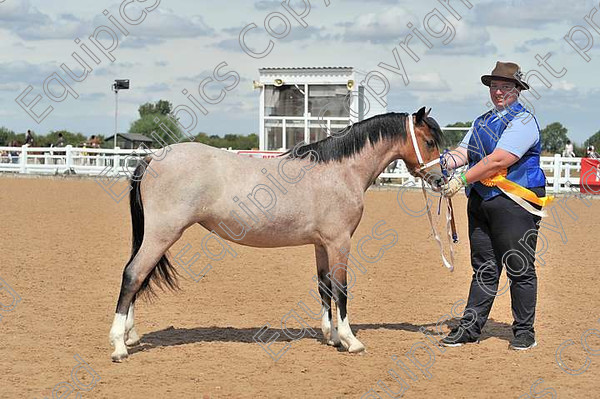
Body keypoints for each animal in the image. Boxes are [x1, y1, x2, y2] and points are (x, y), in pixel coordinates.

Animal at [109, 106, 446, 362]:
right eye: (430, 141)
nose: (442, 179)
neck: (340, 171)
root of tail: (152, 158)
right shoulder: (340, 243)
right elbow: (341, 289)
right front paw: (351, 340)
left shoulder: (321, 245)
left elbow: (324, 288)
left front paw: (332, 337)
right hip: (161, 235)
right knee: (133, 275)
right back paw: (119, 345)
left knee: (138, 276)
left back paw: (130, 334)